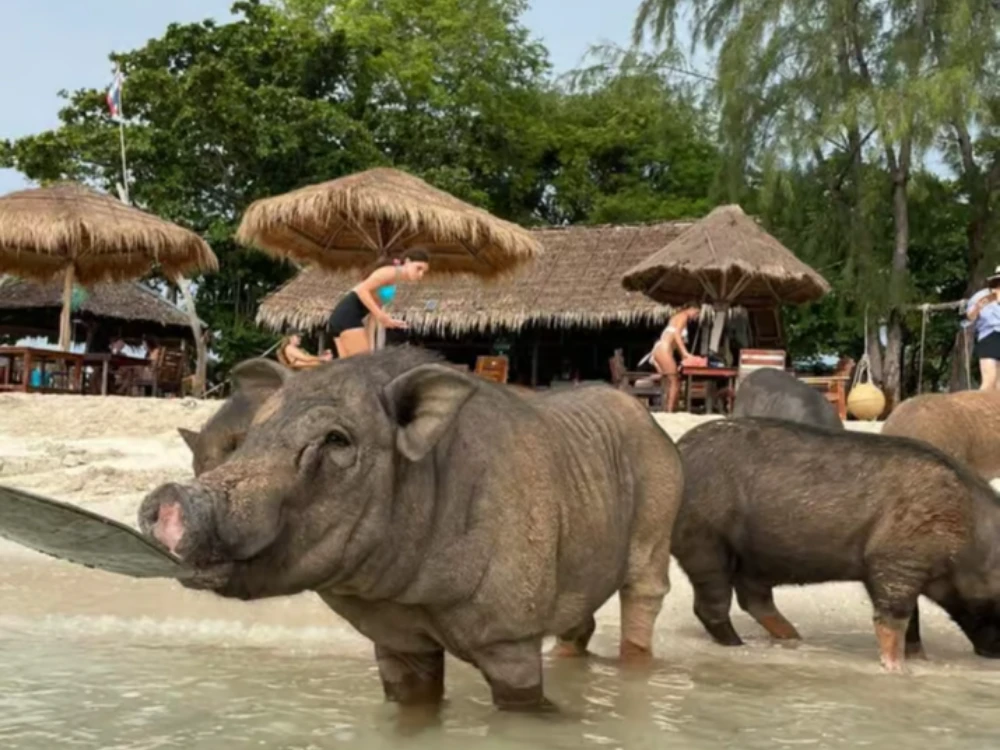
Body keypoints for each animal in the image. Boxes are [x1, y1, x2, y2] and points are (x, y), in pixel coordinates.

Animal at [140, 347, 682, 711]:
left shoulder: (509, 633)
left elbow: (522, 700)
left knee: (645, 591)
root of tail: (654, 425)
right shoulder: (396, 635)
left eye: (336, 441)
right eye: (251, 438)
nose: (168, 500)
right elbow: (412, 701)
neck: (416, 594)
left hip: (660, 498)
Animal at [674, 417, 1000, 672]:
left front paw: (922, 661)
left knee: (753, 598)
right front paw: (897, 670)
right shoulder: (896, 560)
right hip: (704, 541)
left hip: (752, 558)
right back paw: (739, 646)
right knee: (712, 605)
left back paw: (793, 639)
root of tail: (679, 449)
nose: (994, 654)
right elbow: (895, 619)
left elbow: (913, 623)